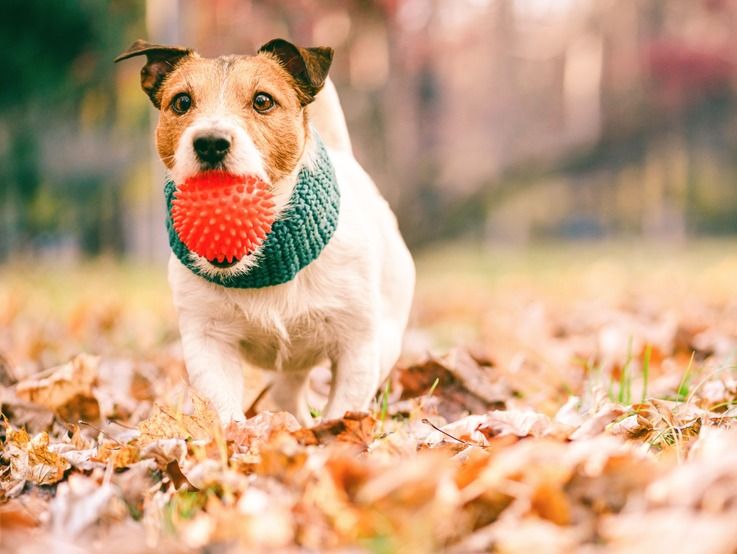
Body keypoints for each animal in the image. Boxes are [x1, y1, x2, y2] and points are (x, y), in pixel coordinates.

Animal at [114, 37, 414, 422]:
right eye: (181, 102)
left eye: (262, 101)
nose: (210, 142)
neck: (262, 265)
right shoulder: (208, 340)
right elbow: (222, 406)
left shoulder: (356, 346)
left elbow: (342, 408)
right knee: (287, 392)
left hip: (384, 339)